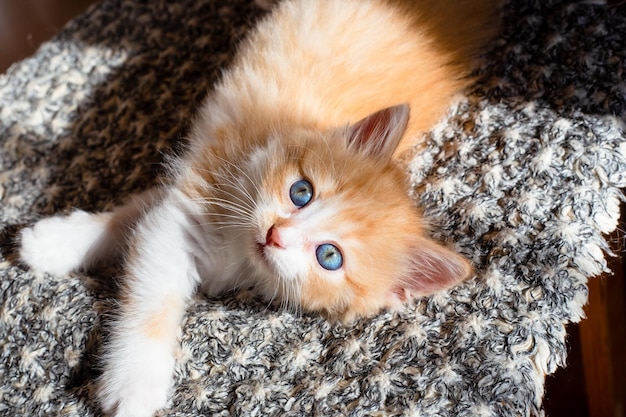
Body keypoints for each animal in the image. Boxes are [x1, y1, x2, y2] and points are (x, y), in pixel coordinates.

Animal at [19, 1, 494, 414]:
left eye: (329, 256)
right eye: (301, 192)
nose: (276, 234)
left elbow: (138, 232)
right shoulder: (191, 190)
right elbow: (138, 250)